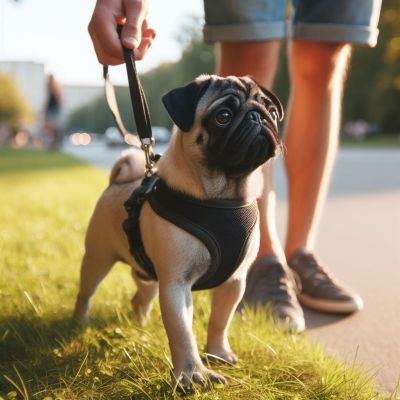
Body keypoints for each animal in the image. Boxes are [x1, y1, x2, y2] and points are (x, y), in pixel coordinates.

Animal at [73, 75, 282, 388]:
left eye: (270, 110)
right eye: (223, 116)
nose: (258, 116)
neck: (223, 198)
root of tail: (117, 183)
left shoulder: (234, 282)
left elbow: (220, 321)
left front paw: (218, 353)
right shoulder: (176, 285)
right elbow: (182, 333)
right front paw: (192, 374)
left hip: (148, 276)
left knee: (139, 299)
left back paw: (141, 327)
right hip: (98, 261)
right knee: (85, 293)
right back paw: (78, 322)